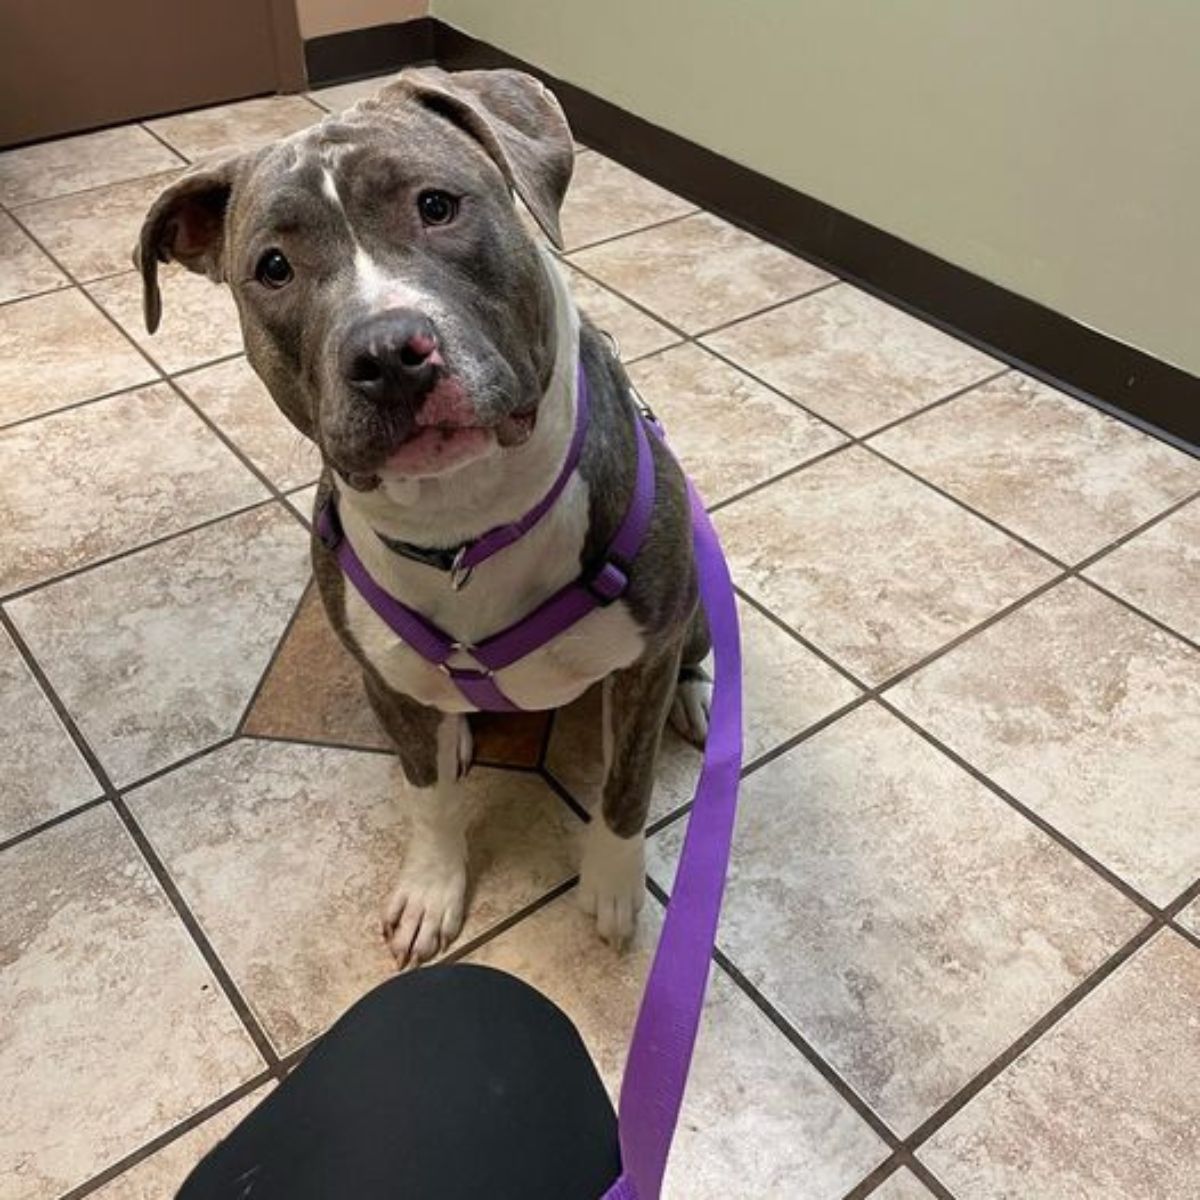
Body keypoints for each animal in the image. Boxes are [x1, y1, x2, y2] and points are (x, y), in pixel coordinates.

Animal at [136, 63, 705, 964]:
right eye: (273, 267)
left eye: (436, 205)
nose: (387, 354)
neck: (468, 524)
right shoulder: (386, 686)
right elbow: (427, 796)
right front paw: (433, 889)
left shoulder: (641, 664)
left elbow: (626, 786)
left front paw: (614, 890)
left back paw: (694, 699)